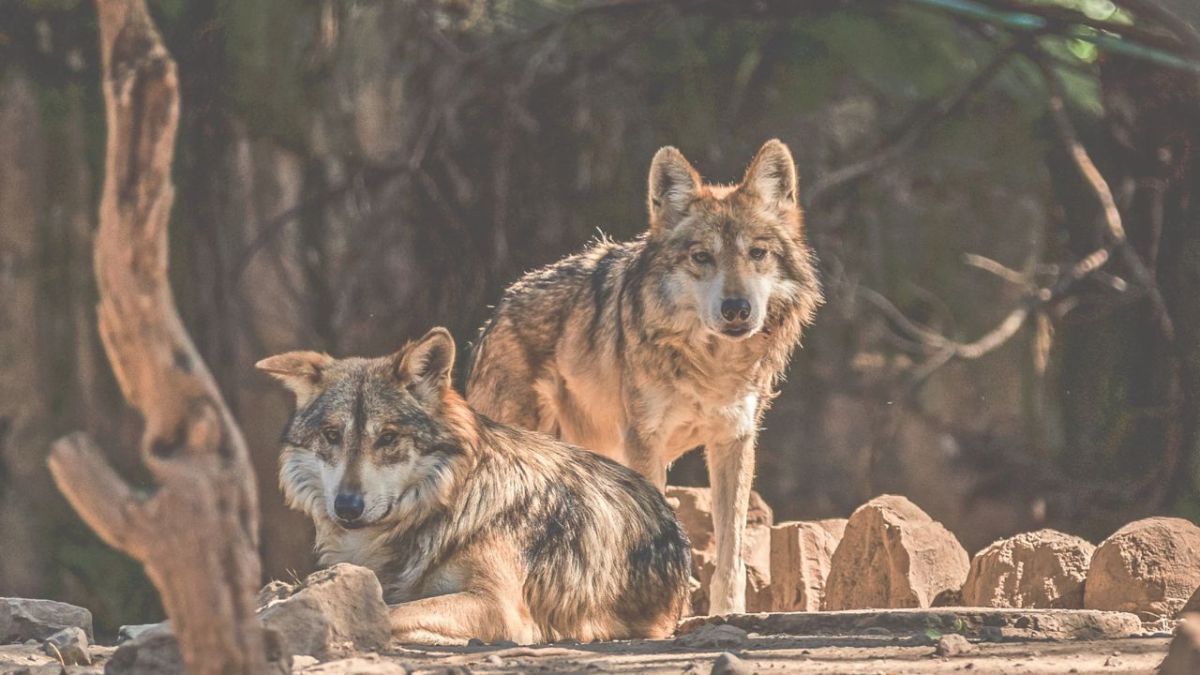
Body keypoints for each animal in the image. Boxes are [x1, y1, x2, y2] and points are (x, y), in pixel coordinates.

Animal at [260, 329, 696, 643]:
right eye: (332, 435)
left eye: (387, 438)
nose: (347, 506)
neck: (450, 504)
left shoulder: (498, 607)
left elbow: (389, 612)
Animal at [468, 139, 825, 612]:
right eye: (701, 257)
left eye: (757, 253)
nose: (736, 309)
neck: (710, 367)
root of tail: (495, 315)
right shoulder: (645, 441)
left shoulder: (733, 440)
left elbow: (731, 551)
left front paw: (727, 612)